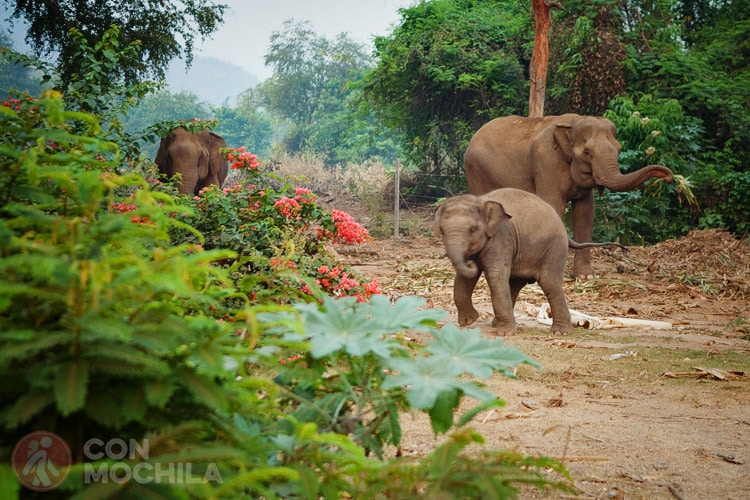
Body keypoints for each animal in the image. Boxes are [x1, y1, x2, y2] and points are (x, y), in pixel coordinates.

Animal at [438, 188, 624, 336]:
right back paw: (498, 324)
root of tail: (565, 230)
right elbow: (466, 278)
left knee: (550, 284)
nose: (471, 262)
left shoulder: (502, 238)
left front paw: (504, 334)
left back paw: (560, 333)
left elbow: (496, 275)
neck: (482, 200)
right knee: (513, 284)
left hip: (555, 248)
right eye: (442, 230)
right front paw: (469, 321)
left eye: (472, 229)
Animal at [464, 114, 676, 280]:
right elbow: (554, 205)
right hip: (476, 171)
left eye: (618, 149)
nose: (668, 177)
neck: (574, 123)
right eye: (587, 153)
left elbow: (586, 212)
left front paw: (585, 276)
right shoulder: (547, 163)